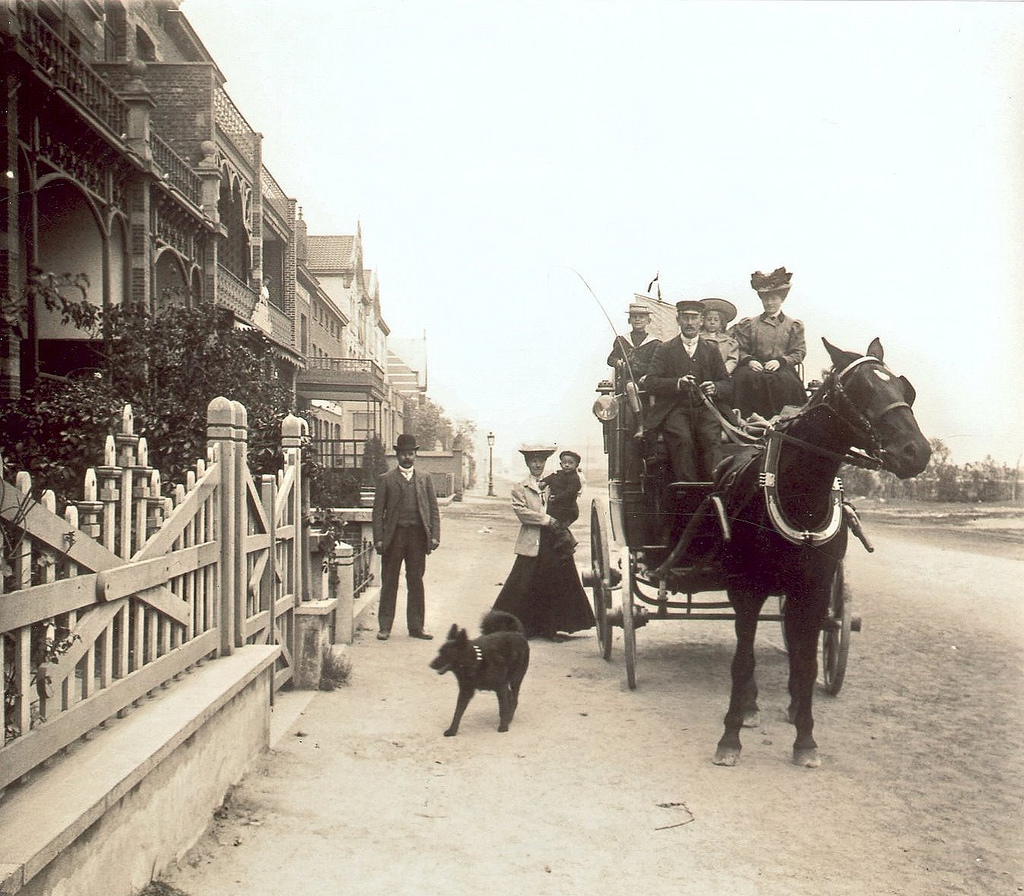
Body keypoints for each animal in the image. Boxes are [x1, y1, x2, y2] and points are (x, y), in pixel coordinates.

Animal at [712, 339, 929, 765]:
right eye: (862, 389)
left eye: (902, 387)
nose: (918, 452)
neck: (800, 495)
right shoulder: (746, 589)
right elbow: (742, 659)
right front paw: (730, 736)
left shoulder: (814, 590)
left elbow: (808, 661)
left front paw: (805, 737)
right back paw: (749, 706)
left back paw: (792, 703)